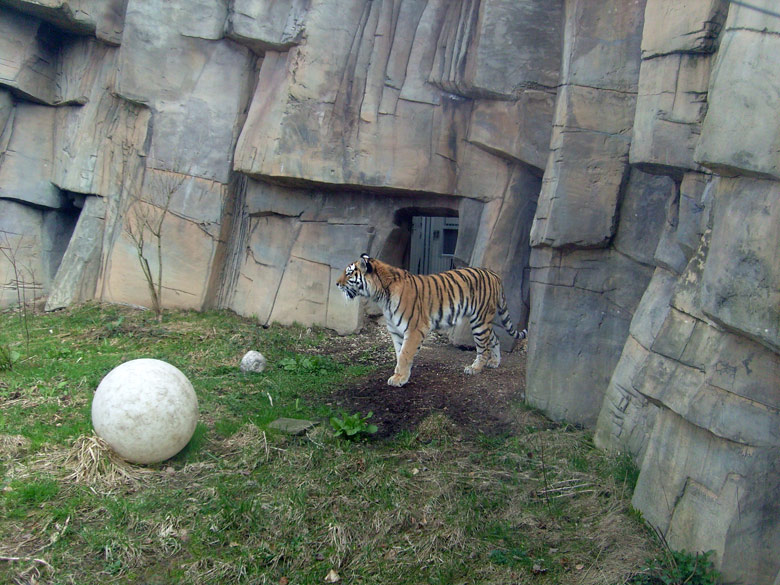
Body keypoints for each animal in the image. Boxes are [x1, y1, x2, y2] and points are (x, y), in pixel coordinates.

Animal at [334, 253, 524, 386]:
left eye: (349, 273)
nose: (336, 283)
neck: (381, 295)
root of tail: (493, 273)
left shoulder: (414, 329)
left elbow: (405, 354)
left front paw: (400, 378)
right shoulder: (396, 331)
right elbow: (399, 354)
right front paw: (399, 375)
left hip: (479, 320)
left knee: (483, 347)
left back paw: (475, 368)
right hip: (482, 320)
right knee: (495, 338)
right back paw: (494, 362)